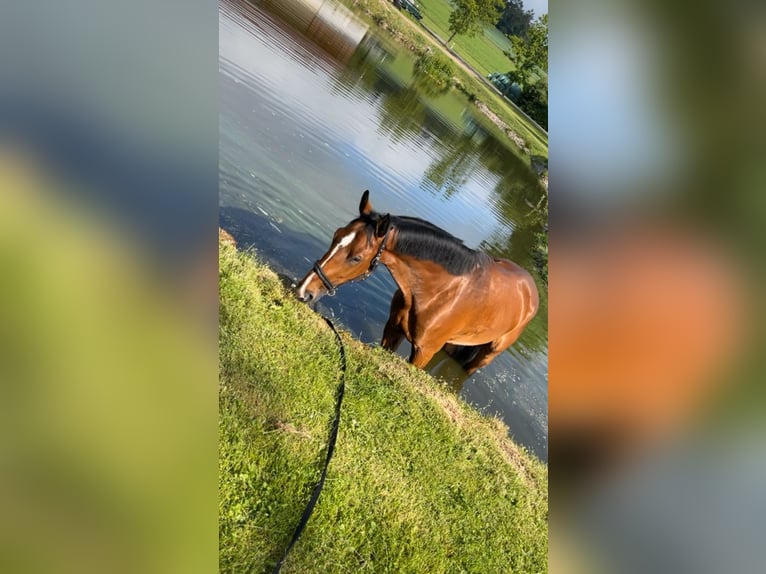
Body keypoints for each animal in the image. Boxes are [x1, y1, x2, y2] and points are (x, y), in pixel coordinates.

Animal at [296, 191, 540, 376]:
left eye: (356, 257)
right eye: (337, 235)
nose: (304, 290)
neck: (437, 292)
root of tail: (531, 290)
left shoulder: (424, 351)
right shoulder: (393, 329)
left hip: (488, 353)